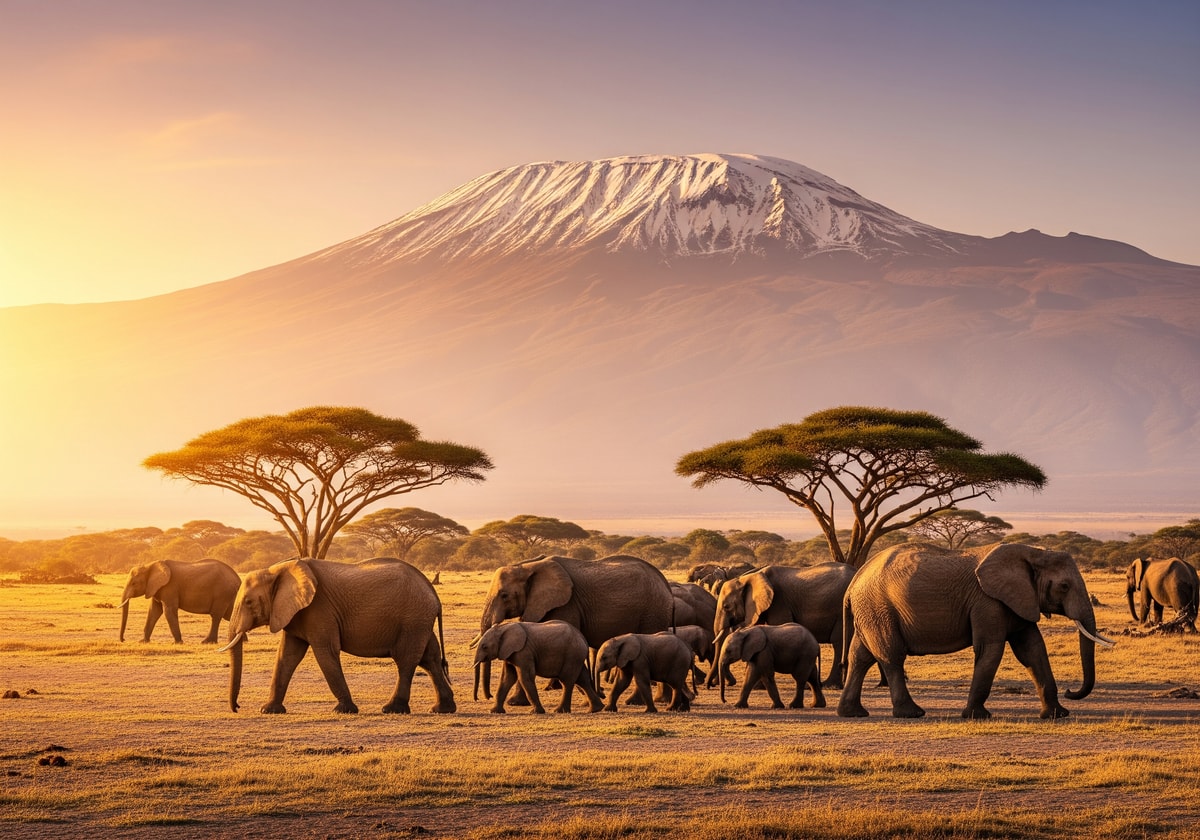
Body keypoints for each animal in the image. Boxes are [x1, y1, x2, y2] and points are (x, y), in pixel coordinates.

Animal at [221, 557, 455, 715]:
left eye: (249, 602)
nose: (237, 707)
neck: (278, 570)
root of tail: (434, 594)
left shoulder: (319, 609)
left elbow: (326, 652)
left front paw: (344, 709)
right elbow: (287, 656)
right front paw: (268, 710)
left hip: (413, 619)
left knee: (406, 661)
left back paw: (392, 709)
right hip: (420, 621)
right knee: (430, 659)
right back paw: (442, 709)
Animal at [471, 620, 604, 713]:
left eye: (484, 647)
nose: (477, 699)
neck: (504, 627)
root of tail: (583, 639)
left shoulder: (524, 651)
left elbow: (526, 677)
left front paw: (536, 712)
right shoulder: (510, 653)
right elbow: (507, 679)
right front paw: (494, 712)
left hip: (572, 654)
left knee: (567, 680)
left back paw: (559, 711)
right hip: (576, 656)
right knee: (583, 679)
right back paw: (596, 709)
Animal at [475, 554, 675, 701]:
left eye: (504, 595)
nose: (486, 696)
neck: (529, 566)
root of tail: (665, 583)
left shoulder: (566, 604)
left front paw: (517, 702)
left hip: (653, 612)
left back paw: (638, 701)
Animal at [709, 562, 855, 688]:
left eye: (726, 607)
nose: (711, 684)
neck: (748, 577)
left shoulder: (779, 601)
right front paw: (758, 686)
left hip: (841, 609)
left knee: (838, 642)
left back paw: (830, 685)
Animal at [837, 542, 1115, 720]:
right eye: (1064, 586)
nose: (1071, 692)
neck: (1033, 552)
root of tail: (854, 582)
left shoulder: (1018, 600)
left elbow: (1032, 650)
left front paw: (1057, 715)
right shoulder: (987, 602)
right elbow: (990, 649)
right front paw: (977, 716)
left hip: (869, 611)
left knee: (860, 657)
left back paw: (853, 713)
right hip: (879, 608)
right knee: (891, 657)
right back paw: (911, 713)